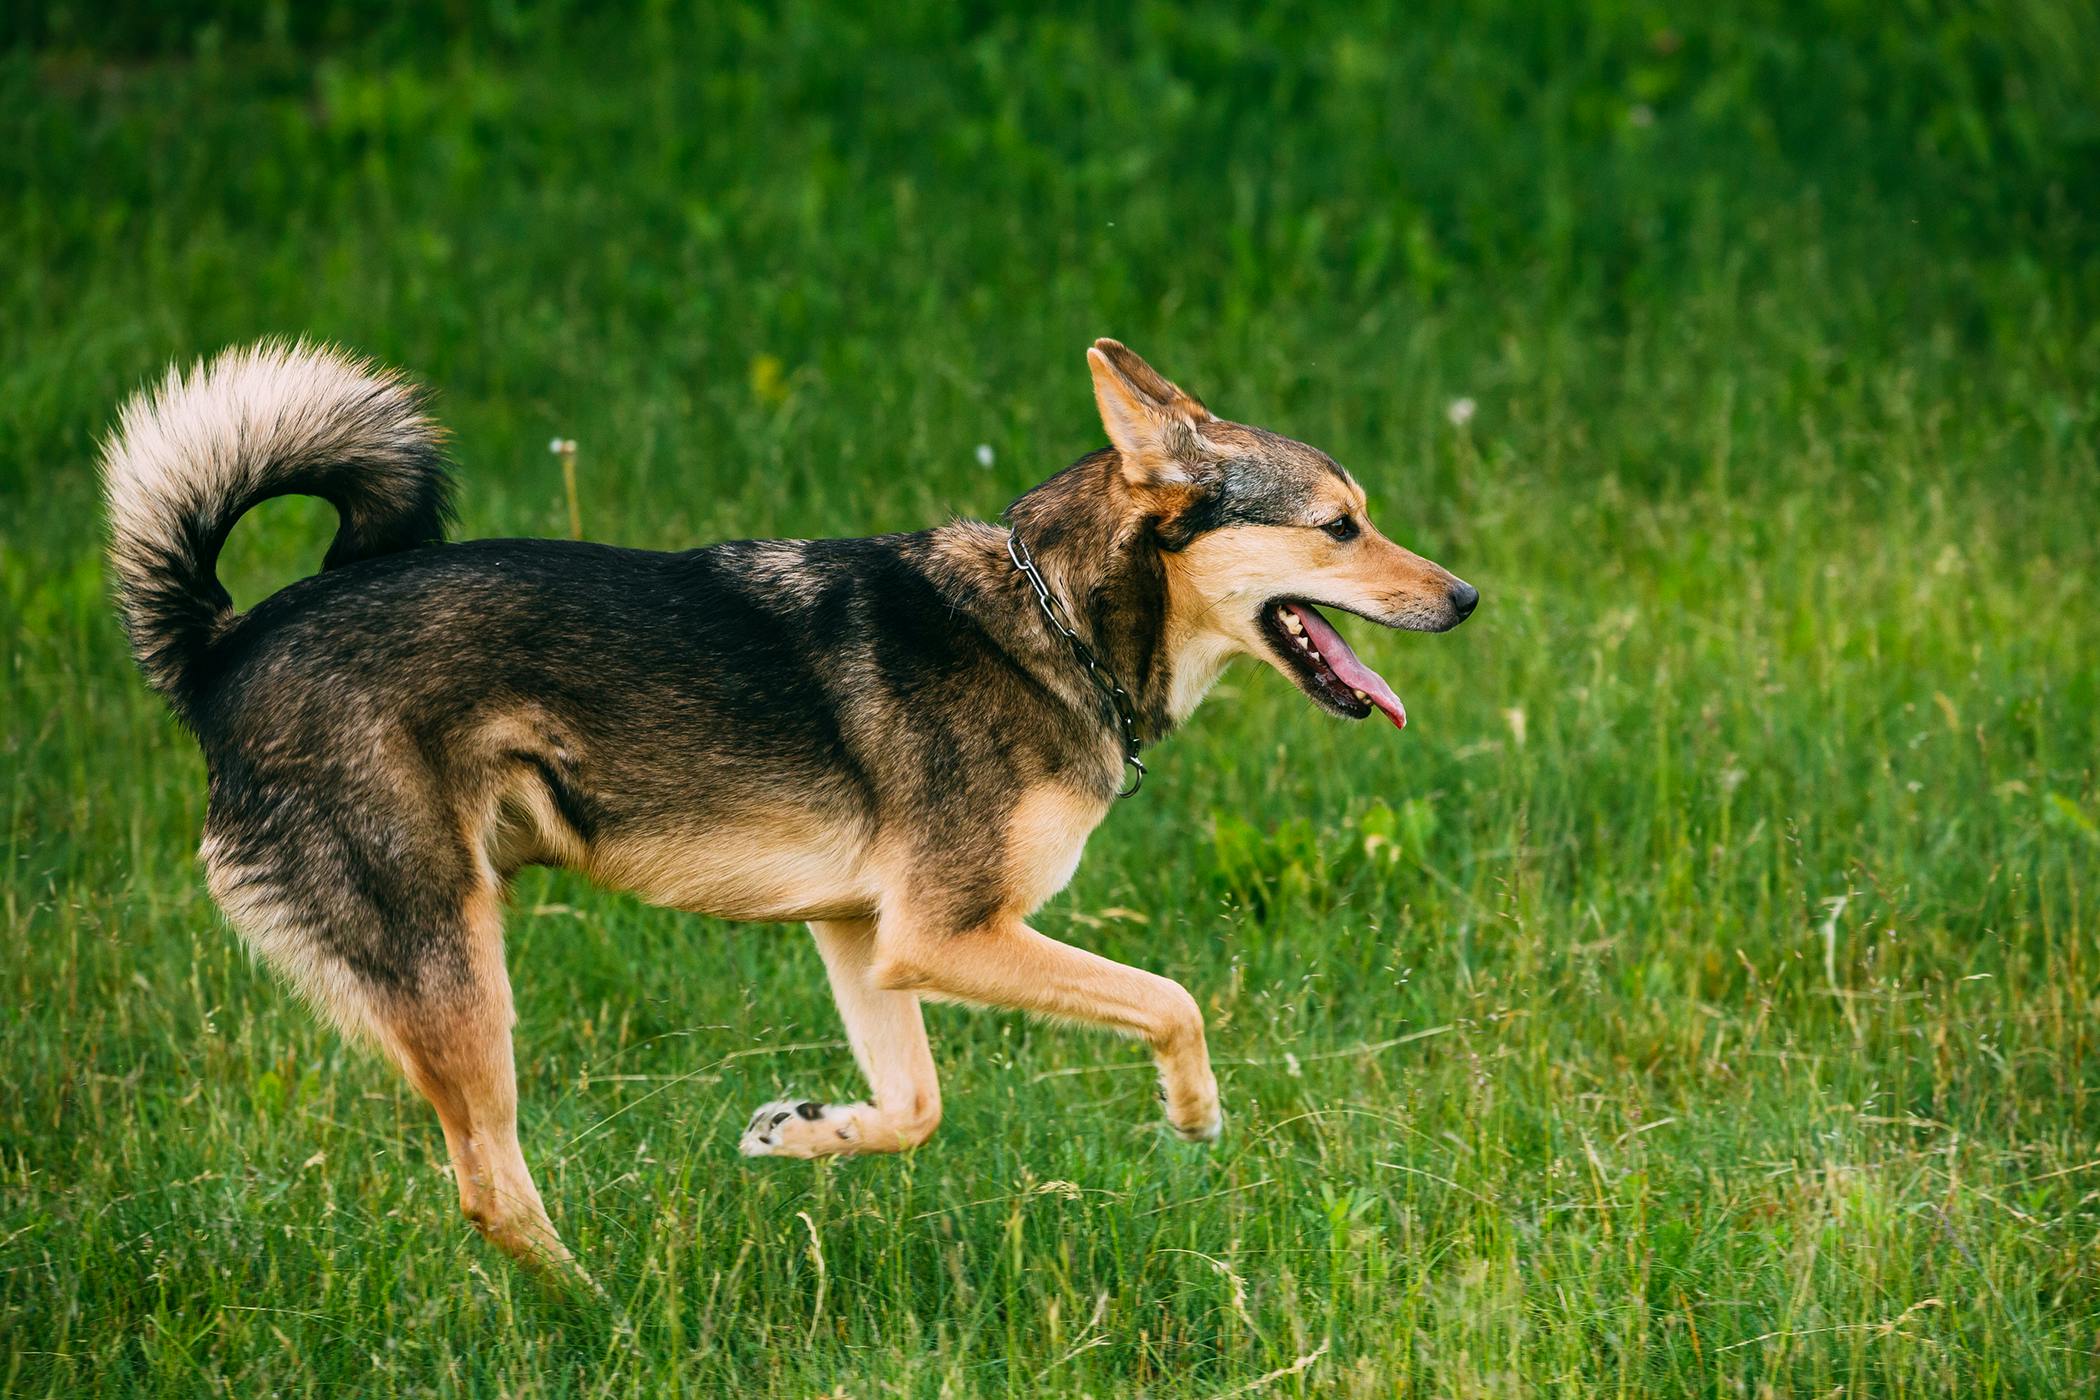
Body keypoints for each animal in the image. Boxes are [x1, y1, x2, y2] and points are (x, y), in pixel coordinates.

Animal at [102, 340, 1478, 1267]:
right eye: (1341, 526)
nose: (1469, 598)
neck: (1056, 621)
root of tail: (221, 647)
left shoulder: (866, 936)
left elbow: (916, 1108)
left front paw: (805, 1130)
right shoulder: (950, 931)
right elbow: (1172, 1000)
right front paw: (1194, 1114)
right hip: (453, 965)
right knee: (492, 1188)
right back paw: (593, 1310)